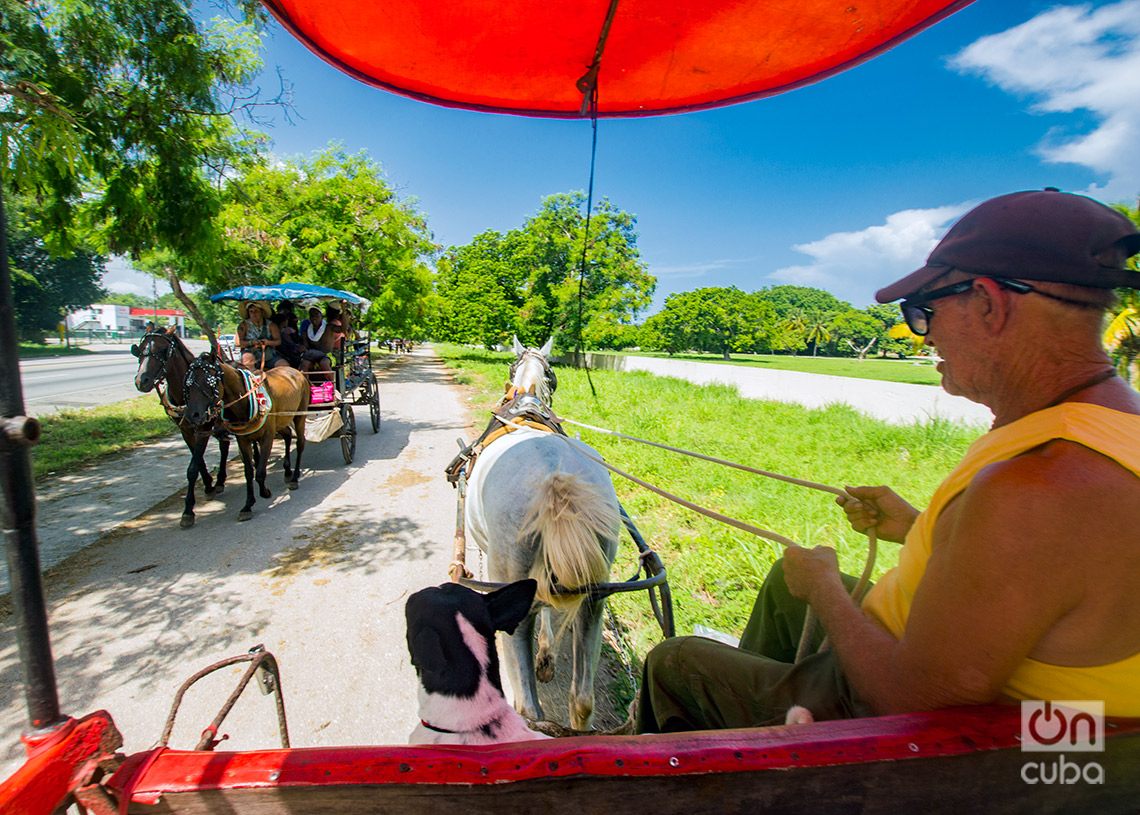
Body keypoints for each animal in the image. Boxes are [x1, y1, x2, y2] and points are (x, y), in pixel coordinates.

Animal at [131, 330, 231, 528]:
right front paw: (208, 485)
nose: (141, 380)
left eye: (163, 350)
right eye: (140, 349)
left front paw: (188, 510)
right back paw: (219, 481)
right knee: (224, 446)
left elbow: (193, 468)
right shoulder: (185, 431)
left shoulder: (203, 428)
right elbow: (198, 462)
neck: (183, 398)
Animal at [182, 353, 310, 522]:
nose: (192, 415)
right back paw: (288, 472)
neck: (245, 401)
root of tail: (296, 371)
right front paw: (247, 505)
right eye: (187, 385)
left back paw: (295, 477)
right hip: (282, 420)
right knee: (288, 435)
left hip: (299, 415)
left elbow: (260, 472)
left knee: (300, 443)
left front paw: (265, 492)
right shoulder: (242, 439)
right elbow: (249, 472)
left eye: (209, 382)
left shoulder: (267, 436)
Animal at [462, 335, 620, 729]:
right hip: (595, 600)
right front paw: (547, 656)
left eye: (509, 366)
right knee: (582, 699)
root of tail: (555, 482)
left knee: (528, 710)